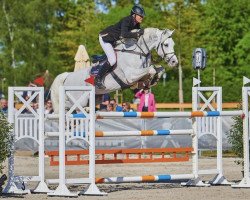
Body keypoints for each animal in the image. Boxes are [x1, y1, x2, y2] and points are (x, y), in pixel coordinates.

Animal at [50, 27, 178, 114]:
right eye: (166, 44)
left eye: (173, 44)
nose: (174, 62)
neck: (138, 52)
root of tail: (67, 76)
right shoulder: (130, 76)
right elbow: (151, 69)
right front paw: (150, 80)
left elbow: (159, 69)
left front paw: (152, 81)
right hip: (78, 99)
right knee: (65, 106)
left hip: (94, 98)